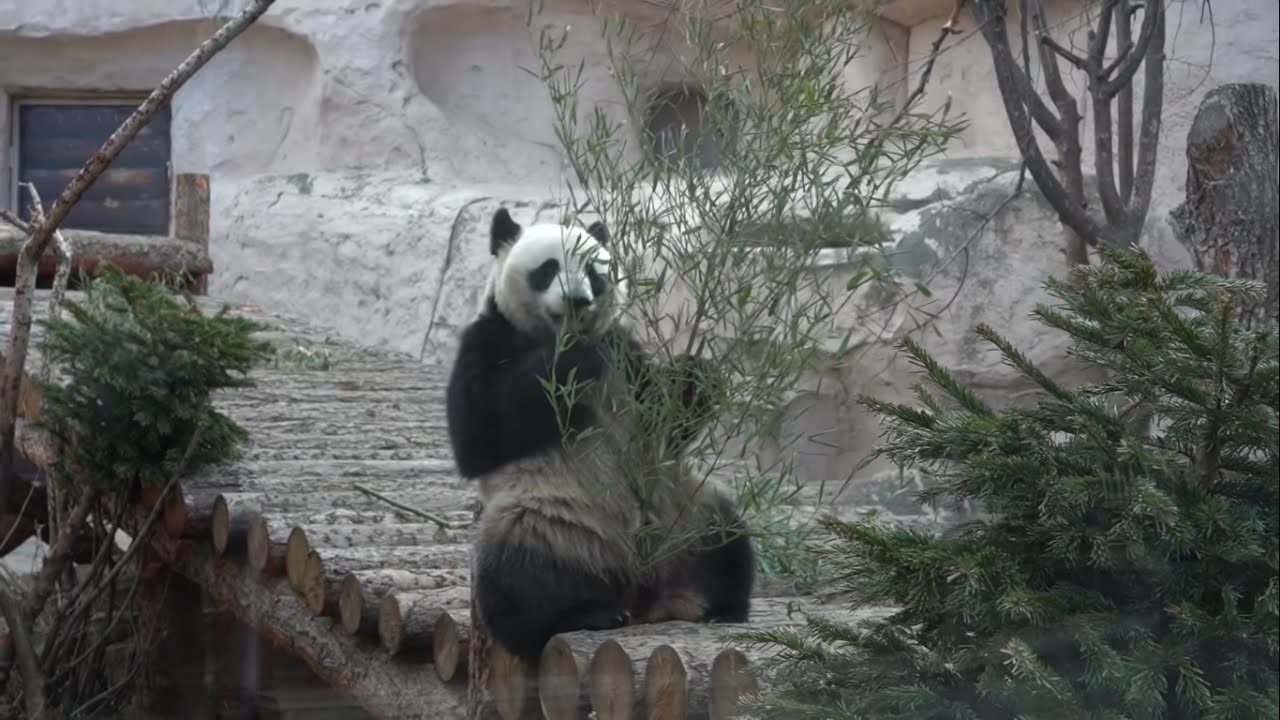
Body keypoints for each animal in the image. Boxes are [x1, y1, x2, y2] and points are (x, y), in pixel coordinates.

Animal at [445, 204, 752, 666]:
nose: (578, 300)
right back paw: (585, 614)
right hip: (552, 523)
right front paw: (576, 359)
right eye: (548, 268)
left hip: (684, 510)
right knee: (516, 577)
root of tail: (644, 596)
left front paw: (697, 373)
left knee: (727, 535)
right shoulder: (489, 338)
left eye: (594, 271)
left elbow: (665, 421)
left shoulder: (627, 356)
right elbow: (479, 433)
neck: (559, 335)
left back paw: (724, 606)